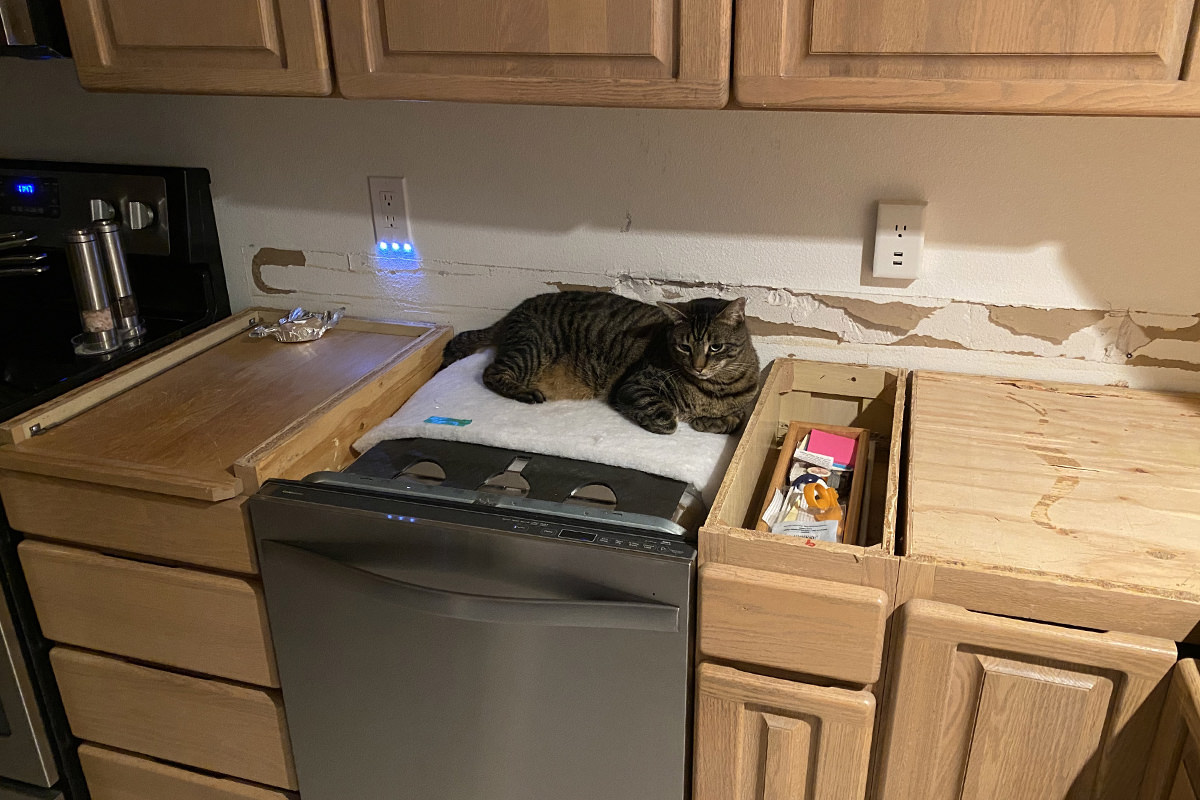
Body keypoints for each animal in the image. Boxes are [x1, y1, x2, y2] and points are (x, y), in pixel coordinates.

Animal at [441, 291, 758, 434]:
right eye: (684, 347)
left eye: (715, 347)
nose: (698, 366)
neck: (715, 387)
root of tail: (511, 313)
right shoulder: (634, 385)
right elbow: (663, 416)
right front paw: (667, 419)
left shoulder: (741, 408)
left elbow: (736, 420)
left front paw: (711, 421)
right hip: (531, 349)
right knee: (491, 372)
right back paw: (526, 393)